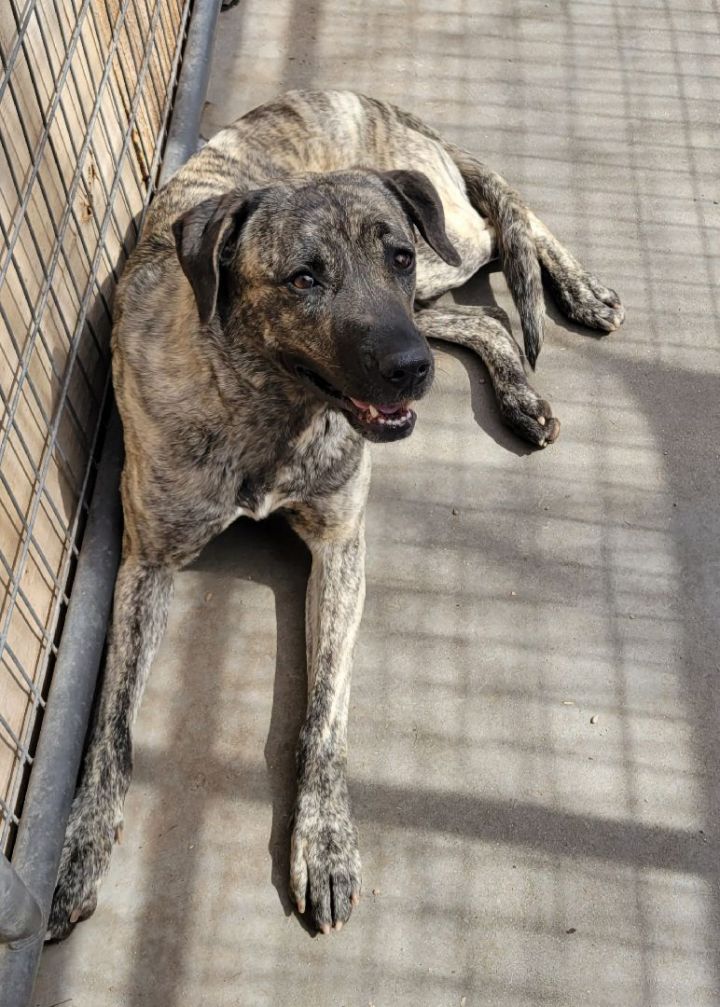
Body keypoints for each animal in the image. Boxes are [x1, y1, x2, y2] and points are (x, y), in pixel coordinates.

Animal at [47, 90, 628, 938]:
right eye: (303, 278)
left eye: (393, 256)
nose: (409, 371)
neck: (270, 408)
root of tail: (367, 98)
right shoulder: (146, 562)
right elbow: (111, 725)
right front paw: (81, 843)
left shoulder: (342, 546)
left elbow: (322, 716)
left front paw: (323, 840)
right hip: (431, 295)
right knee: (479, 317)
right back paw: (519, 387)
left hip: (442, 258)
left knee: (500, 226)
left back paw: (580, 289)